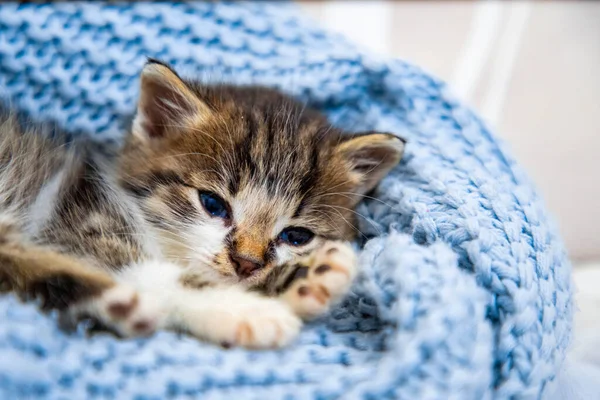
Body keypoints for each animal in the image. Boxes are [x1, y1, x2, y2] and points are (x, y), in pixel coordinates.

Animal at [0, 58, 406, 346]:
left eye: (296, 236)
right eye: (212, 204)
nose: (246, 263)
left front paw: (302, 279)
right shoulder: (73, 220)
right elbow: (152, 271)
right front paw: (242, 309)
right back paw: (121, 304)